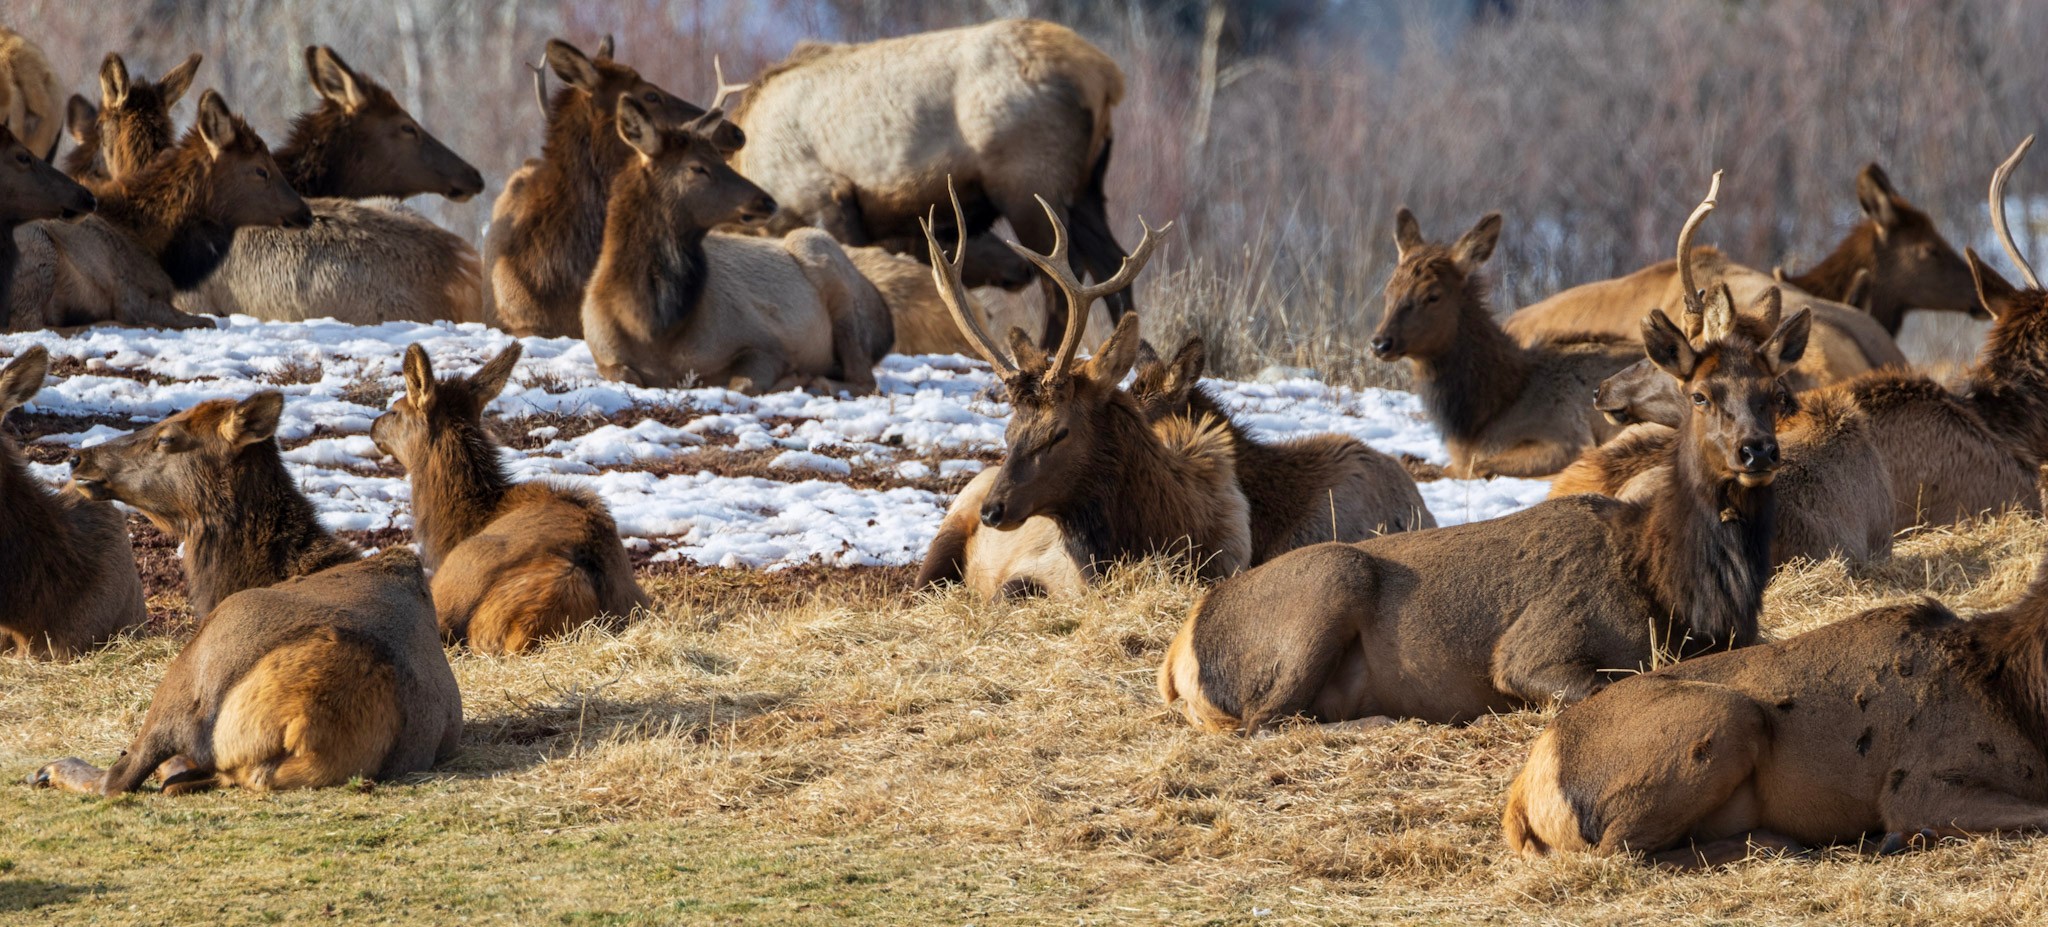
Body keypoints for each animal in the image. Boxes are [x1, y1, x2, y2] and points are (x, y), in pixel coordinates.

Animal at [31, 390, 462, 796]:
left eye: (167, 437)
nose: (78, 458)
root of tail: (303, 725)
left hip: (200, 664)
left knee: (122, 775)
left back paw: (53, 769)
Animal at [580, 96, 892, 394]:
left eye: (721, 158)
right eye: (697, 167)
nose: (767, 201)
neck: (652, 327)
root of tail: (885, 319)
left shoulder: (767, 343)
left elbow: (743, 384)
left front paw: (793, 378)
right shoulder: (603, 354)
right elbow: (626, 375)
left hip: (824, 258)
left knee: (864, 380)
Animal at [729, 19, 1132, 350]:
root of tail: (1106, 76)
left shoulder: (824, 199)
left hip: (1029, 183)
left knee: (1063, 278)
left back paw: (1045, 356)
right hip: (1087, 188)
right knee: (1113, 263)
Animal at [1503, 513, 2048, 868]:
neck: (2014, 699)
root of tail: (1524, 795)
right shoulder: (1918, 787)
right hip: (1727, 717)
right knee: (1619, 853)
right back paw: (1787, 843)